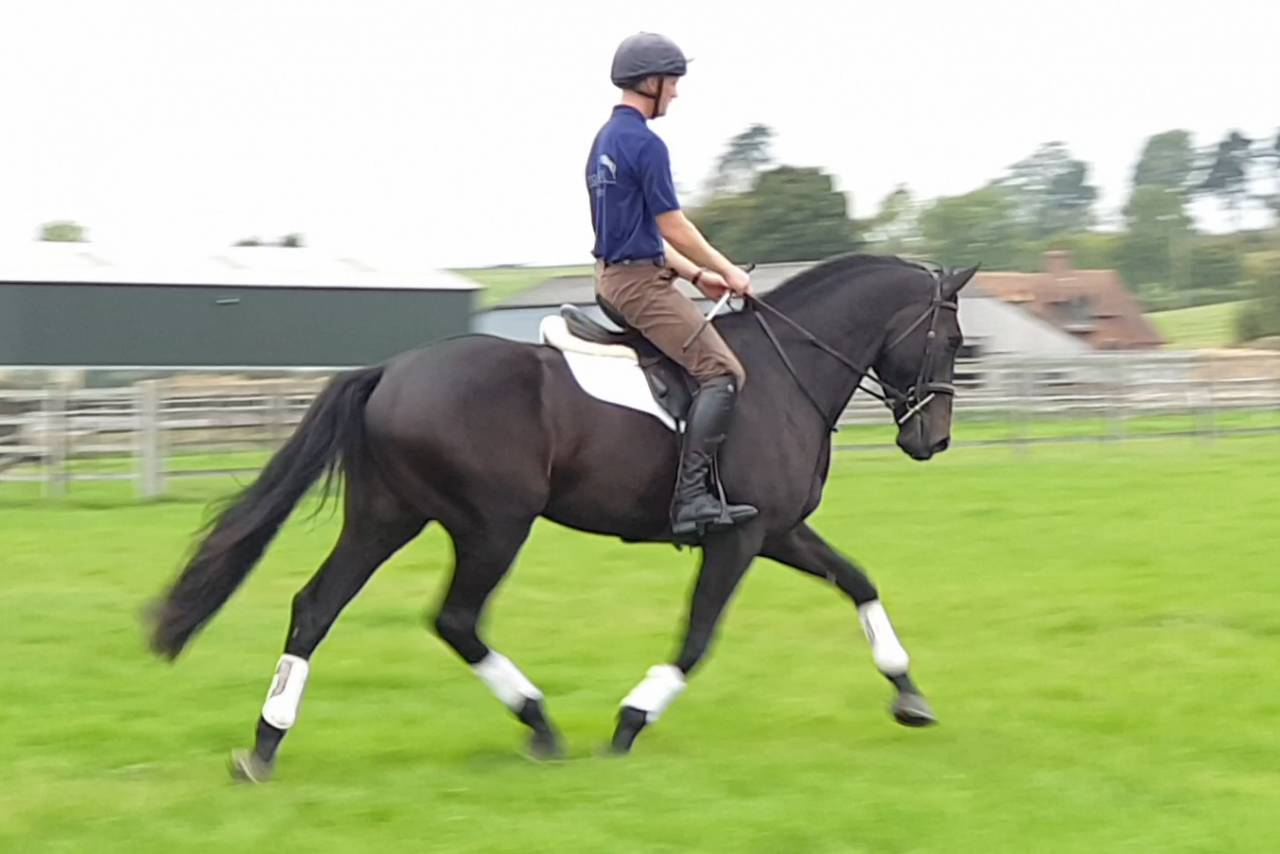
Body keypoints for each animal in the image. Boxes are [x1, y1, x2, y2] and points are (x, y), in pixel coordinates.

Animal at [147, 253, 975, 782]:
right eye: (953, 340)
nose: (931, 440)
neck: (783, 372)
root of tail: (390, 371)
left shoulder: (776, 531)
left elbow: (858, 581)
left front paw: (909, 695)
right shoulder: (738, 536)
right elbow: (698, 638)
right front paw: (630, 722)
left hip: (388, 517)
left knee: (317, 607)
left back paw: (263, 748)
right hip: (492, 525)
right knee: (455, 619)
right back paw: (540, 724)